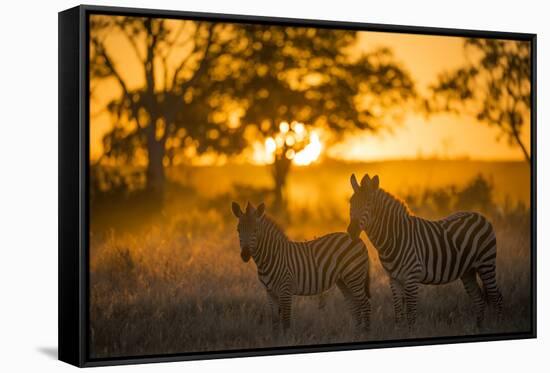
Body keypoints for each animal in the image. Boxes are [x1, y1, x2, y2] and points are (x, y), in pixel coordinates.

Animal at [231, 201, 374, 332]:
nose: (245, 255)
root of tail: (358, 240)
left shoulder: (286, 290)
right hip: (343, 280)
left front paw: (287, 340)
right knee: (354, 306)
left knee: (365, 305)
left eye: (255, 230)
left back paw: (365, 333)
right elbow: (275, 323)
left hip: (354, 276)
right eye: (238, 230)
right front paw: (276, 340)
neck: (271, 257)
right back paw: (356, 333)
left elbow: (286, 322)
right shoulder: (270, 292)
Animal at [350, 171, 504, 326]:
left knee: (496, 297)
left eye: (368, 204)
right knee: (479, 300)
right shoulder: (394, 279)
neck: (395, 238)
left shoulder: (412, 277)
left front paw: (411, 331)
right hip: (468, 271)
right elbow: (399, 315)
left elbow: (411, 316)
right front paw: (400, 330)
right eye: (351, 204)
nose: (351, 231)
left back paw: (496, 325)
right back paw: (480, 328)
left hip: (486, 264)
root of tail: (480, 215)